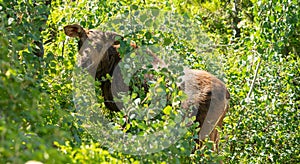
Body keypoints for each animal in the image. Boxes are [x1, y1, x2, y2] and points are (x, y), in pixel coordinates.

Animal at [64, 23, 231, 151]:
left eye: (99, 45)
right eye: (80, 42)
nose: (82, 64)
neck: (108, 70)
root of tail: (227, 95)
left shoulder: (129, 108)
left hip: (202, 128)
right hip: (216, 129)